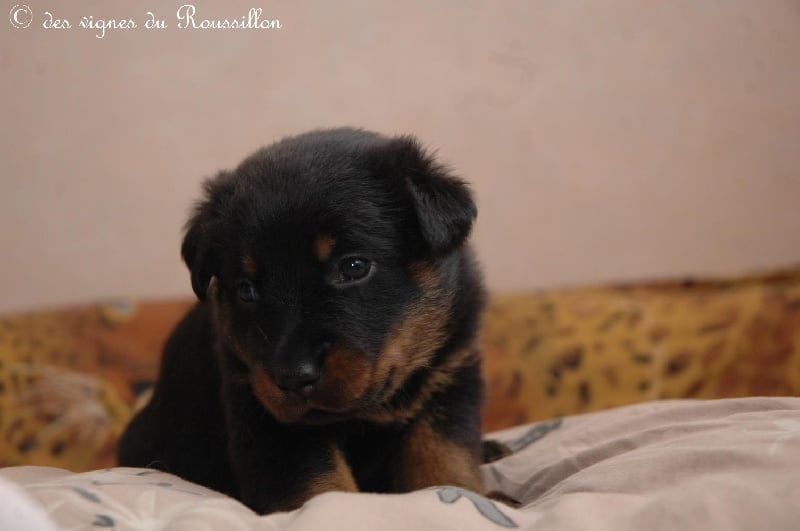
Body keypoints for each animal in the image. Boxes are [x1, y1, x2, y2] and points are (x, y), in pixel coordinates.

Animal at [117, 127, 488, 514]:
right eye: (246, 289)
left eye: (354, 267)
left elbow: (444, 460)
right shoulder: (266, 418)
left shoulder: (449, 383)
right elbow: (317, 487)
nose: (293, 376)